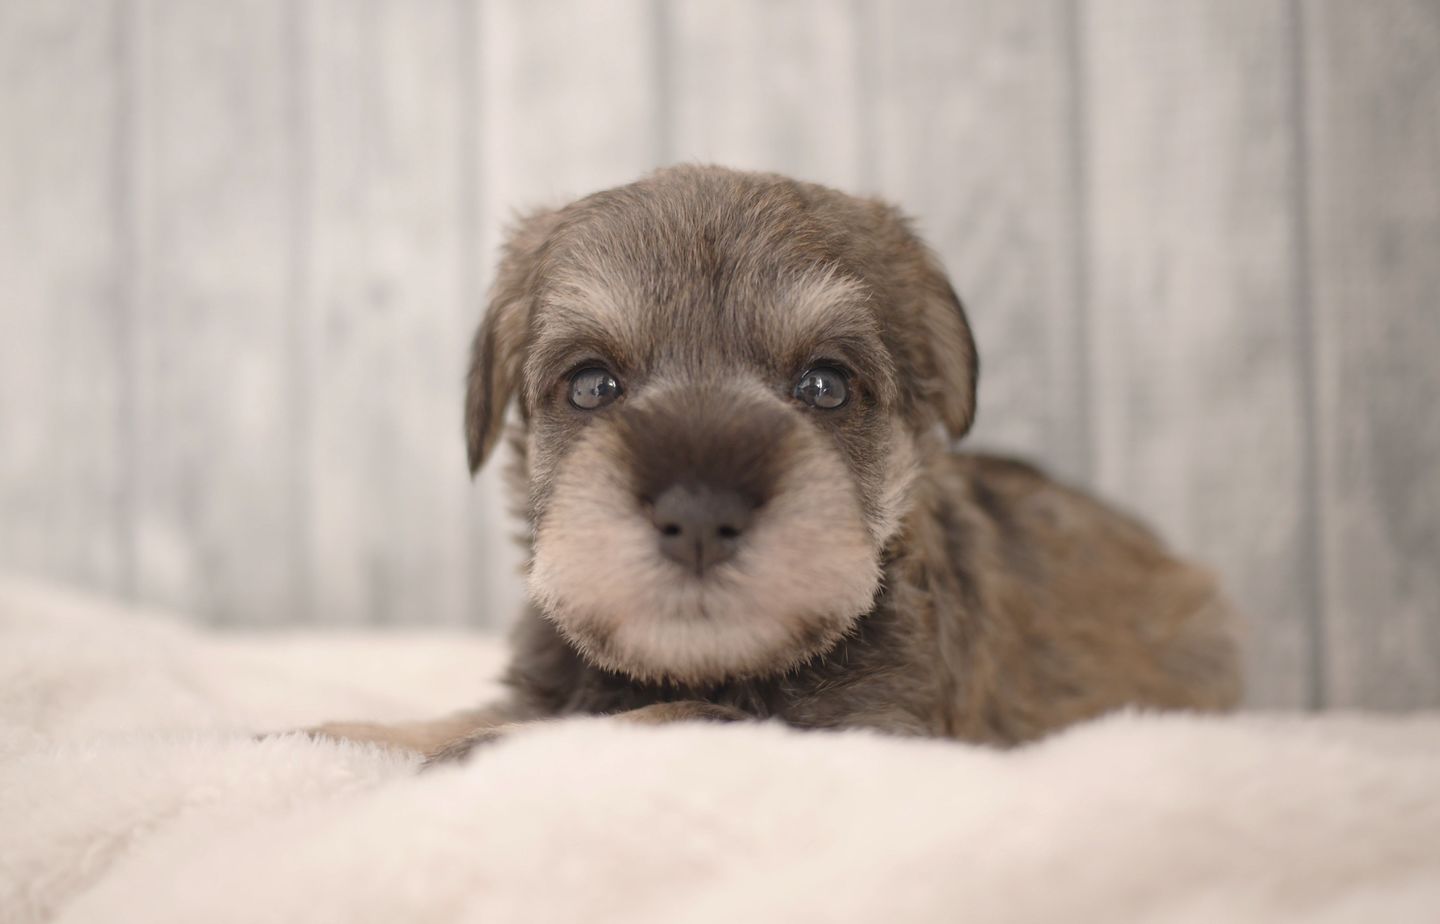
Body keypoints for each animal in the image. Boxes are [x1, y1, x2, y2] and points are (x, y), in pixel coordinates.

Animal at [315, 166, 1238, 759]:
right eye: (592, 384)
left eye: (824, 385)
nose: (698, 516)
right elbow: (449, 718)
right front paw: (337, 732)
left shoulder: (868, 728)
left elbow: (663, 718)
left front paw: (494, 747)